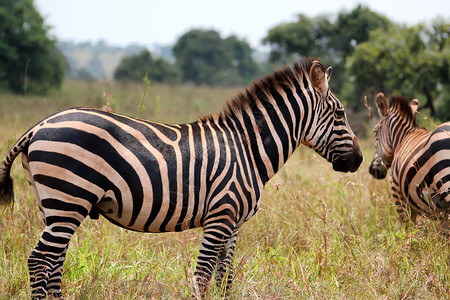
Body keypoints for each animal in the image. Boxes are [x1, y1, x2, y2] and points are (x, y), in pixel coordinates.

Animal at [0, 58, 362, 298]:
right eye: (341, 113)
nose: (359, 160)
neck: (248, 148)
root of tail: (39, 125)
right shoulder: (220, 216)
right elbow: (202, 275)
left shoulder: (234, 222)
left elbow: (225, 277)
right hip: (69, 199)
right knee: (40, 260)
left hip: (54, 206)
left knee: (53, 261)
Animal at [370, 92, 450, 226]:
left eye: (375, 132)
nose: (373, 170)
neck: (402, 139)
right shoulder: (443, 213)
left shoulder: (399, 196)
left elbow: (408, 229)